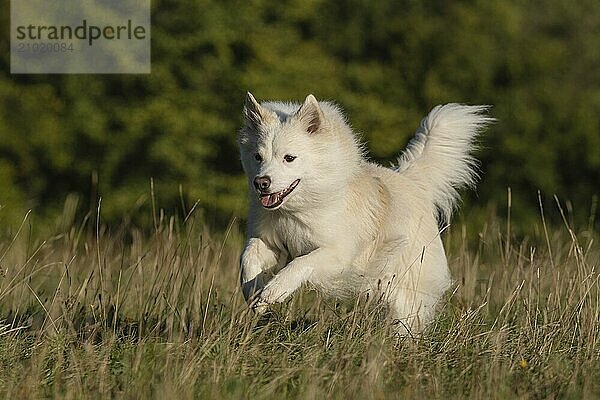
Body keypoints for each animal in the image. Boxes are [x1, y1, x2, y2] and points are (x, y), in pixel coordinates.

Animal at [237, 92, 490, 332]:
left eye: (289, 158)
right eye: (258, 157)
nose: (261, 183)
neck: (295, 210)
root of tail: (412, 182)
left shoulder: (337, 254)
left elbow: (300, 263)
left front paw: (273, 291)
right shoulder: (270, 242)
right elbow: (247, 257)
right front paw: (254, 292)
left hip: (404, 293)